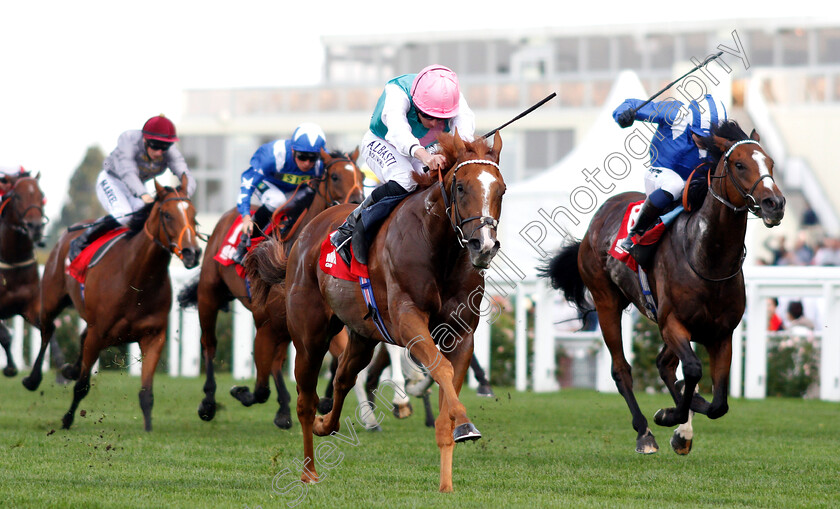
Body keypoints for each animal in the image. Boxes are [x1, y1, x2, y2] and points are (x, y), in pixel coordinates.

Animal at [22, 175, 200, 428]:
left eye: (193, 214)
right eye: (167, 215)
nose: (193, 252)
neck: (136, 279)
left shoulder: (153, 337)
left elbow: (146, 393)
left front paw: (148, 430)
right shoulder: (98, 335)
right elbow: (82, 386)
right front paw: (67, 419)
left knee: (77, 335)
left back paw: (69, 369)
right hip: (51, 300)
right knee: (47, 330)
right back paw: (33, 379)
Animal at [176, 148, 362, 428]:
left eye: (361, 174)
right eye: (336, 176)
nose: (359, 201)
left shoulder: (314, 323)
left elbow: (335, 360)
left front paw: (324, 401)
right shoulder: (266, 322)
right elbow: (261, 386)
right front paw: (242, 392)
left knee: (276, 361)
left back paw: (283, 408)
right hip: (209, 295)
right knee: (209, 343)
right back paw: (208, 402)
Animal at [246, 131, 502, 492]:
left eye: (501, 190)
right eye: (462, 187)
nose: (484, 246)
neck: (440, 248)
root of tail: (304, 235)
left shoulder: (461, 333)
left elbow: (447, 381)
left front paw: (449, 473)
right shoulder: (408, 320)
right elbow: (441, 369)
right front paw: (459, 420)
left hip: (362, 334)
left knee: (343, 377)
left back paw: (328, 424)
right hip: (310, 337)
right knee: (305, 400)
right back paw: (309, 470)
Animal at [540, 121, 788, 454]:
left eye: (771, 163)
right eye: (739, 164)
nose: (775, 204)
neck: (708, 258)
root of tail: (598, 218)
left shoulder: (721, 333)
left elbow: (719, 403)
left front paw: (686, 417)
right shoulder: (672, 323)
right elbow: (693, 370)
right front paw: (670, 415)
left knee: (664, 364)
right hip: (607, 303)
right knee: (622, 370)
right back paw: (644, 432)